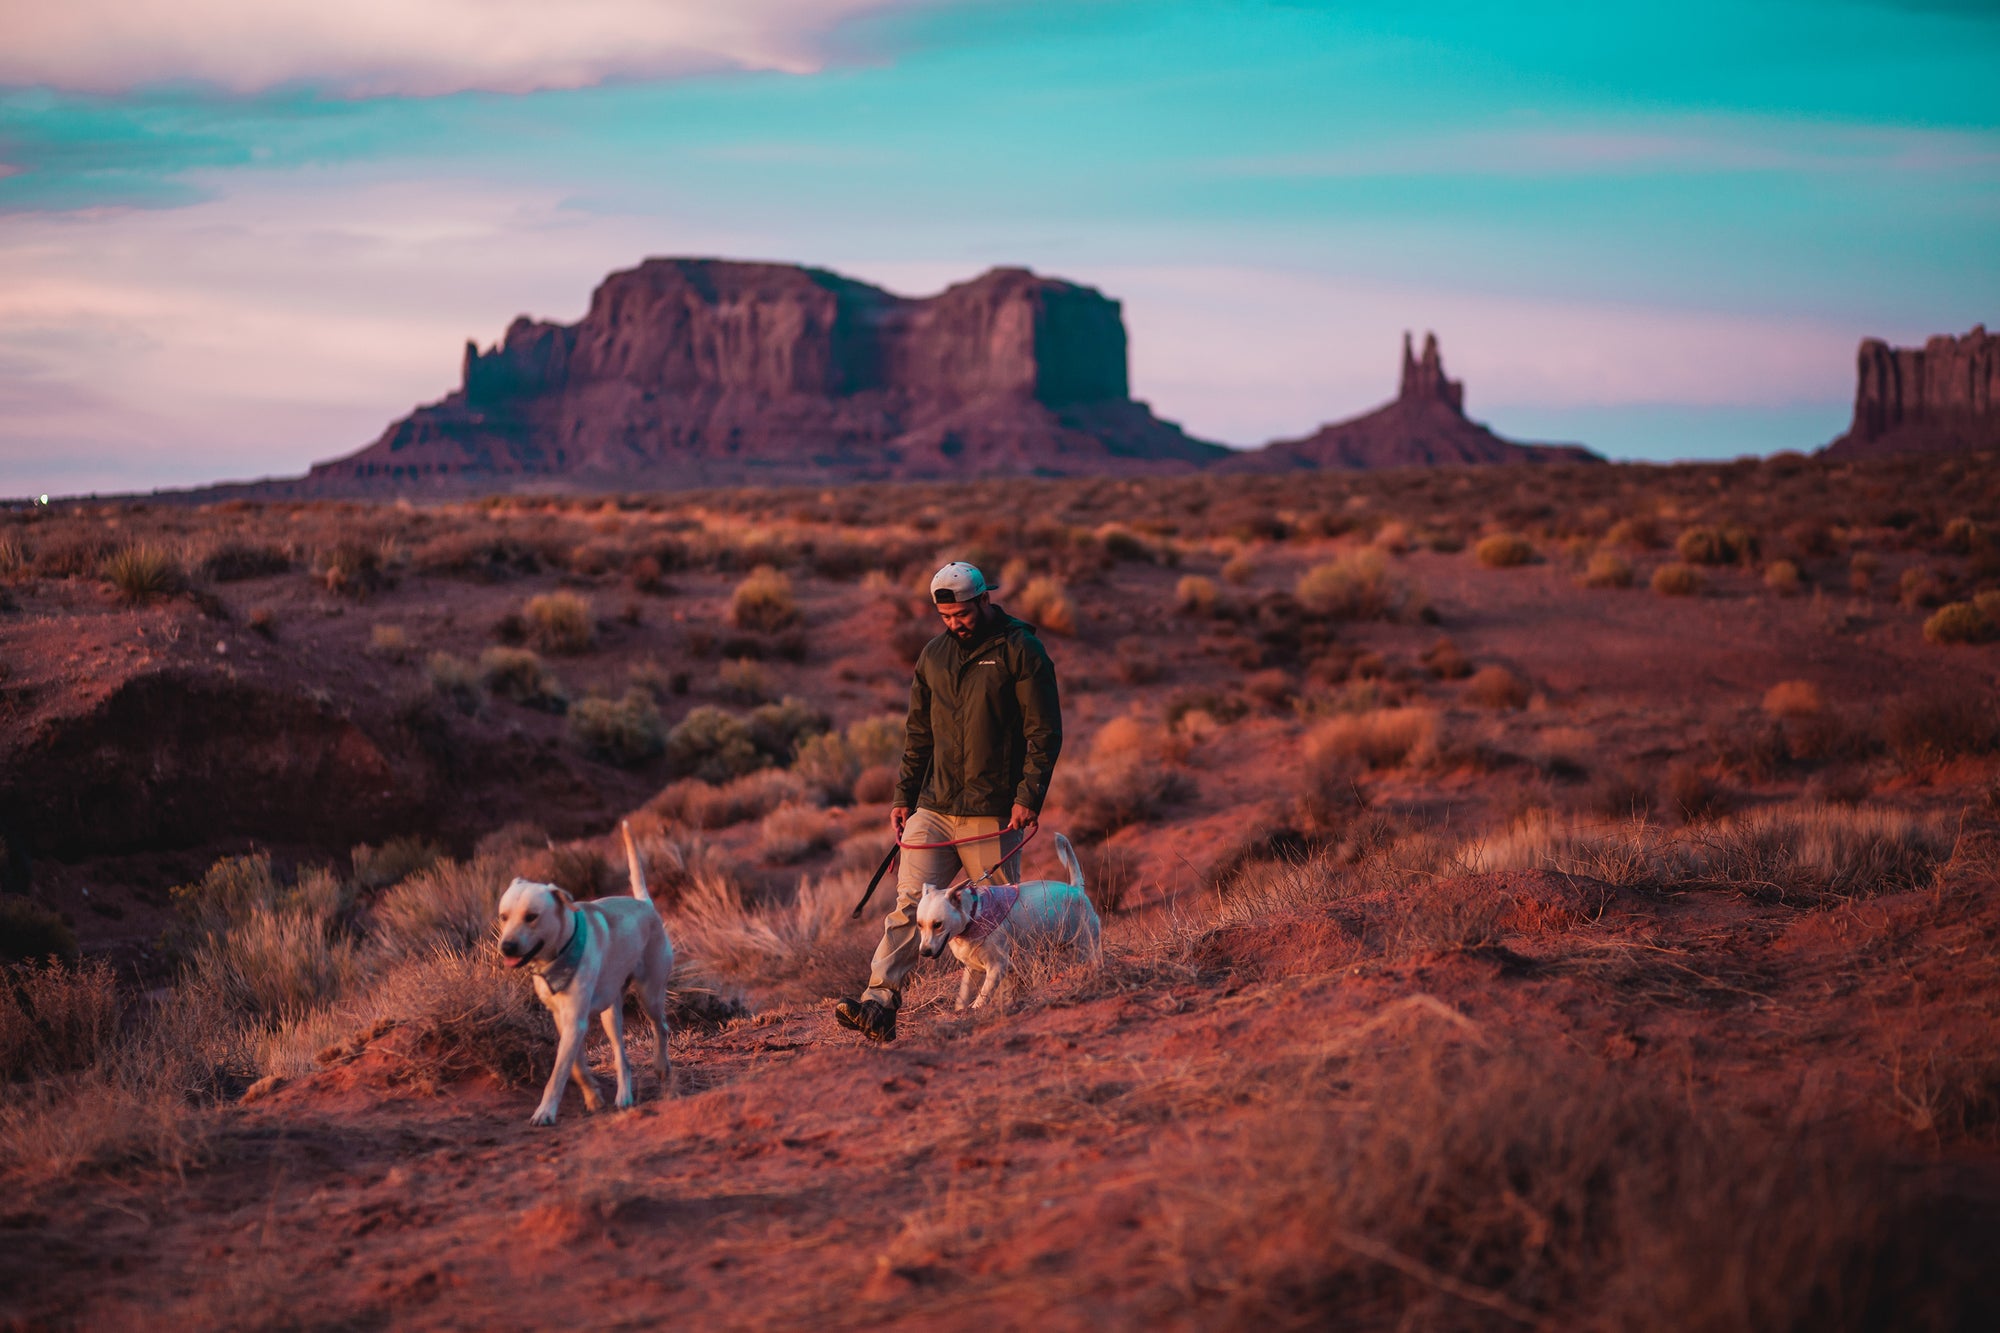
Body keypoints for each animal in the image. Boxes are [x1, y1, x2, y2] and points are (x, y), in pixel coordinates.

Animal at [496, 820, 676, 1120]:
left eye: (532, 917)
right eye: (503, 917)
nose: (506, 947)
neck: (559, 954)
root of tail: (645, 904)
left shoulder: (575, 1020)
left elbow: (559, 1071)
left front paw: (545, 1111)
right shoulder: (563, 1018)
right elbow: (576, 1066)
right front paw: (593, 1096)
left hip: (649, 994)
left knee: (660, 1027)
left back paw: (661, 1066)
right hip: (610, 1013)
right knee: (622, 1057)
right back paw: (624, 1095)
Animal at [916, 832, 1104, 1008]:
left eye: (938, 924)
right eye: (919, 925)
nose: (924, 952)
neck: (974, 915)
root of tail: (1076, 888)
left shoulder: (996, 968)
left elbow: (980, 1000)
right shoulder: (972, 970)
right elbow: (962, 998)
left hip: (1084, 946)